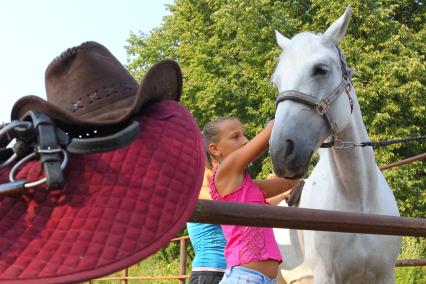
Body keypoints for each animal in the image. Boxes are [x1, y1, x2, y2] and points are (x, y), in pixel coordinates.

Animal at [270, 5, 402, 284]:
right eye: (277, 81)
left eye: (320, 69)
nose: (281, 152)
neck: (359, 200)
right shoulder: (326, 276)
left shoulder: (385, 274)